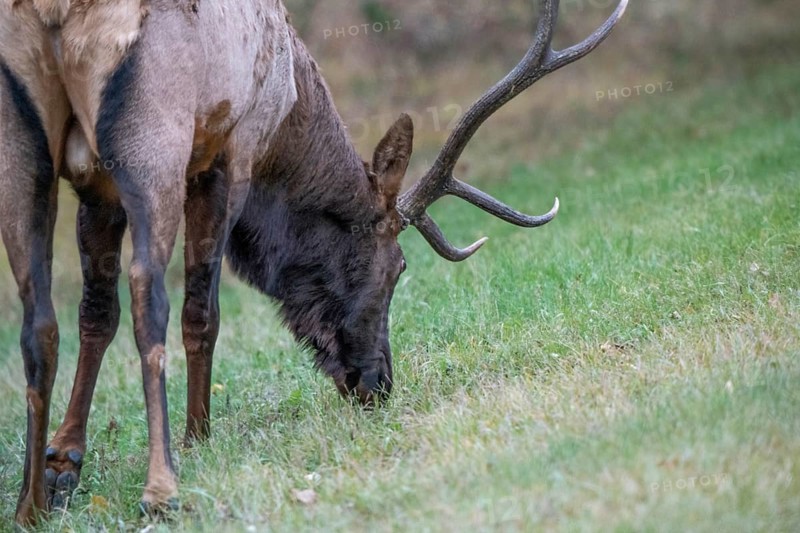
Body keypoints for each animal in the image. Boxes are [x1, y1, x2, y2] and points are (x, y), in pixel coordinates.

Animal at [0, 0, 627, 525]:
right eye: (398, 268)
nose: (378, 383)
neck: (289, 110)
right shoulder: (230, 154)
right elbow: (202, 311)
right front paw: (199, 437)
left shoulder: (96, 187)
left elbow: (94, 314)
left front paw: (64, 462)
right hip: (155, 133)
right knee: (148, 294)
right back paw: (162, 488)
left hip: (23, 146)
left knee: (40, 320)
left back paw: (29, 506)